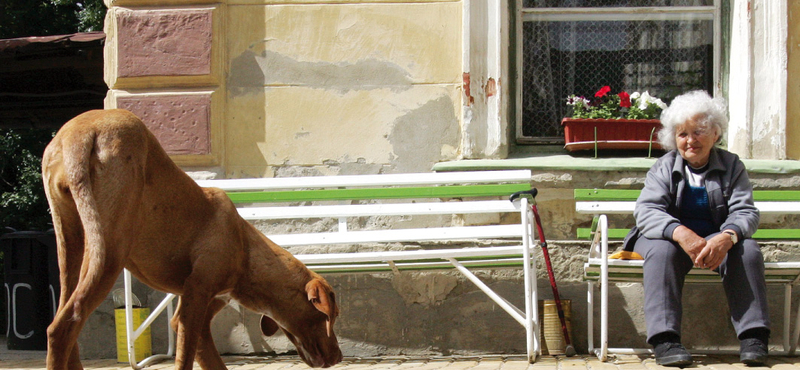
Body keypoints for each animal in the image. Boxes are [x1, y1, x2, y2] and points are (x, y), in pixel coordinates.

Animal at [43, 110, 344, 370]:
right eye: (331, 316)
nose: (340, 357)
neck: (244, 249)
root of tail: (79, 131)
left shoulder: (202, 310)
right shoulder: (193, 304)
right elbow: (184, 359)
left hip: (72, 247)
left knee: (66, 323)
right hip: (108, 253)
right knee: (63, 325)